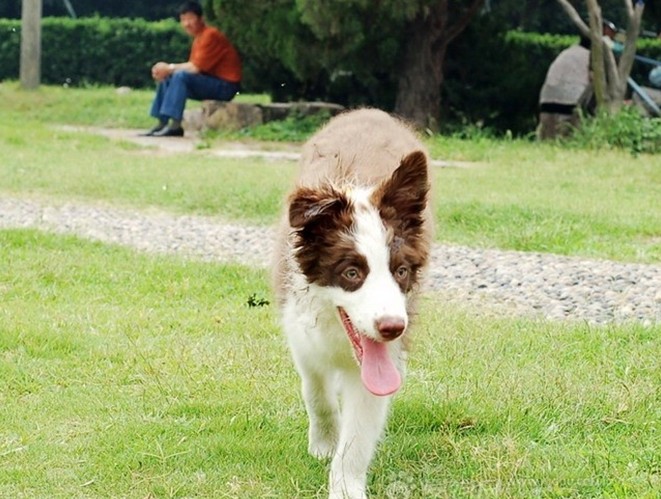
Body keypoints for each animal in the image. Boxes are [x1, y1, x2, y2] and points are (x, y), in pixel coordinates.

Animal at [272, 108, 432, 498]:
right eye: (351, 273)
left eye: (401, 271)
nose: (392, 328)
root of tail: (369, 111)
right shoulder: (299, 328)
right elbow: (316, 390)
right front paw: (323, 443)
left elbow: (359, 432)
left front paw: (345, 483)